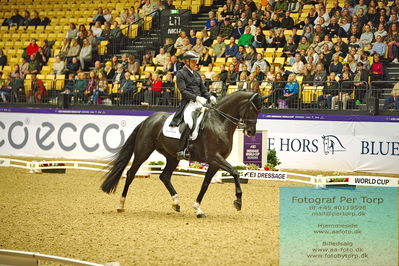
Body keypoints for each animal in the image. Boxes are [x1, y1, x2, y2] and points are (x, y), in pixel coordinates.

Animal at [101, 90, 268, 217]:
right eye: (253, 109)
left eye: (260, 111)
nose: (251, 132)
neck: (219, 122)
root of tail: (147, 120)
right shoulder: (215, 157)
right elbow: (235, 172)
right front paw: (238, 202)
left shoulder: (215, 163)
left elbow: (205, 184)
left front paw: (198, 209)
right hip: (143, 151)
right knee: (131, 174)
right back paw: (121, 205)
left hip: (172, 157)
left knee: (164, 176)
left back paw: (176, 203)